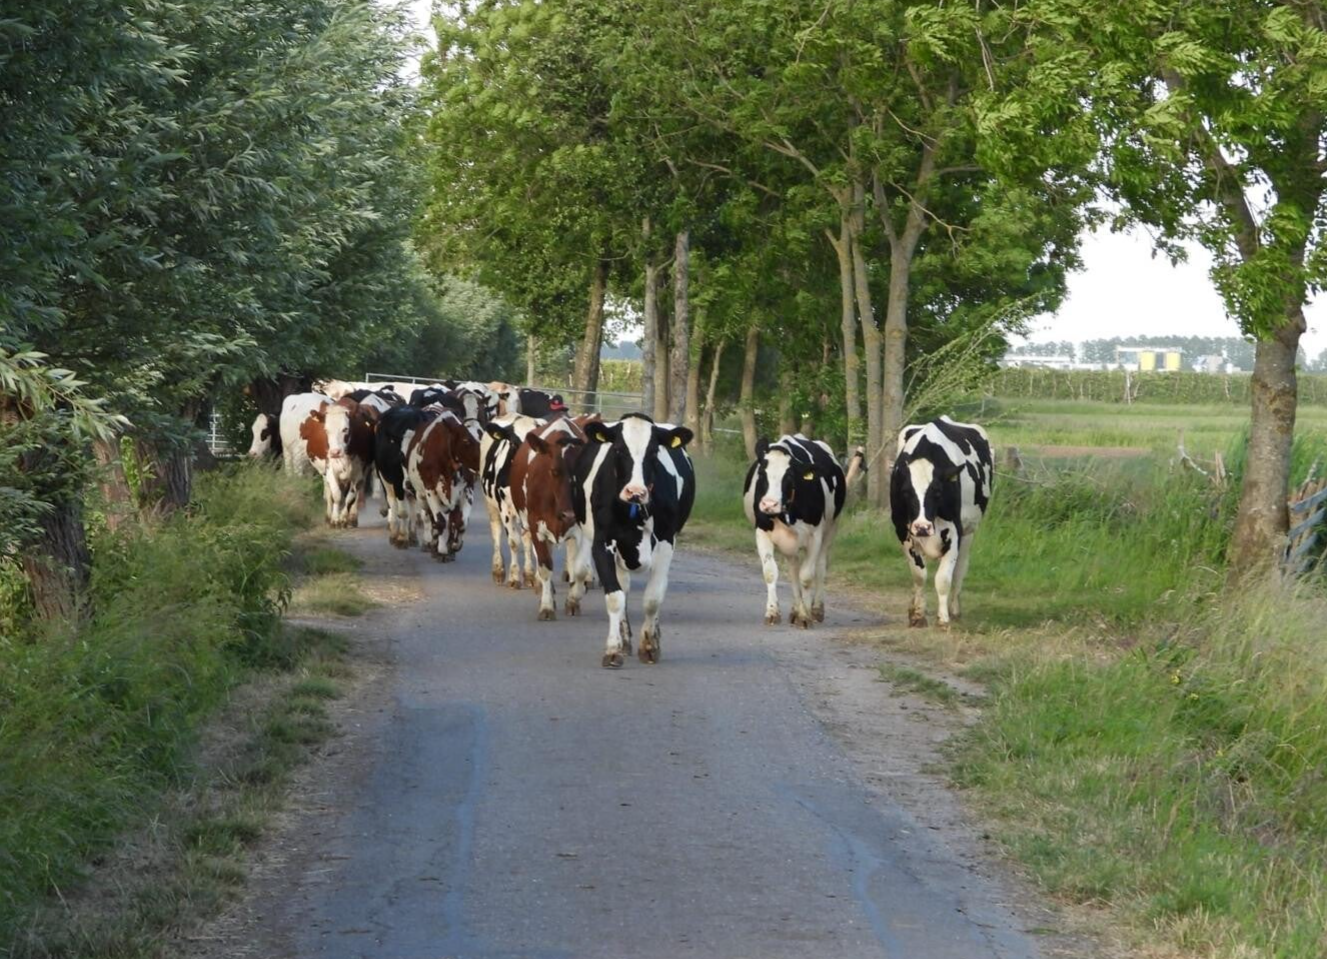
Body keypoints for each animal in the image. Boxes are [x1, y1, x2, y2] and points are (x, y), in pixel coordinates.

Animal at [404, 410, 481, 561]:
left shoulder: (467, 489)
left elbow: (461, 522)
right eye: (466, 441)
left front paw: (454, 545)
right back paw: (433, 544)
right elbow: (439, 522)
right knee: (431, 518)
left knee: (452, 520)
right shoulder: (430, 489)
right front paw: (440, 549)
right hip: (421, 497)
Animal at [480, 413, 547, 586]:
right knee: (496, 531)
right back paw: (498, 569)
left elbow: (532, 542)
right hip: (490, 504)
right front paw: (514, 577)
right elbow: (514, 542)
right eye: (513, 442)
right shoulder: (505, 508)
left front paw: (534, 576)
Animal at [570, 414, 695, 668]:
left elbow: (653, 598)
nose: (635, 491)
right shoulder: (603, 542)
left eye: (654, 451)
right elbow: (615, 596)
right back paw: (624, 638)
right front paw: (613, 649)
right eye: (618, 449)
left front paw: (649, 646)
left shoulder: (666, 543)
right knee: (624, 589)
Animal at [743, 437, 865, 627]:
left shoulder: (815, 536)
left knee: (820, 567)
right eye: (762, 473)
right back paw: (795, 609)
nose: (769, 504)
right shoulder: (762, 532)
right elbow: (770, 573)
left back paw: (815, 609)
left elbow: (807, 576)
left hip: (831, 529)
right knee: (793, 570)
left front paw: (804, 616)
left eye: (789, 476)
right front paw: (772, 612)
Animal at [889, 416, 993, 628]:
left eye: (937, 492)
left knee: (960, 570)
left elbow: (943, 578)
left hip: (969, 531)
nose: (922, 527)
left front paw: (943, 618)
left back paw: (955, 609)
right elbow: (919, 575)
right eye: (906, 492)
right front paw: (918, 614)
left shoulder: (954, 532)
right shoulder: (902, 531)